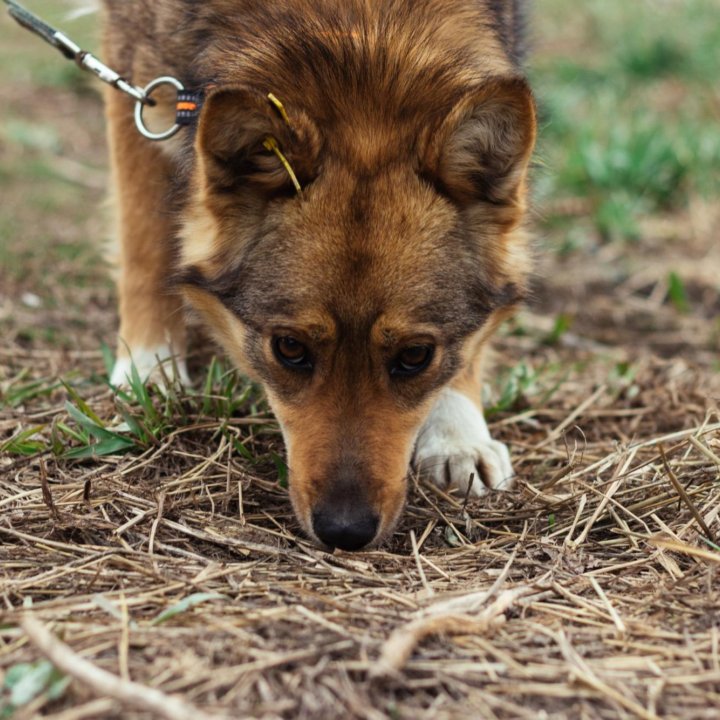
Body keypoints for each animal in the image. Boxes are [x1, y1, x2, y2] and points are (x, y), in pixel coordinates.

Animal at [102, 1, 536, 552]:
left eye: (416, 355)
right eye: (289, 348)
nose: (344, 531)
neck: (357, 36)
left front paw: (458, 433)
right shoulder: (135, 81)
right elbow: (144, 242)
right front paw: (149, 372)